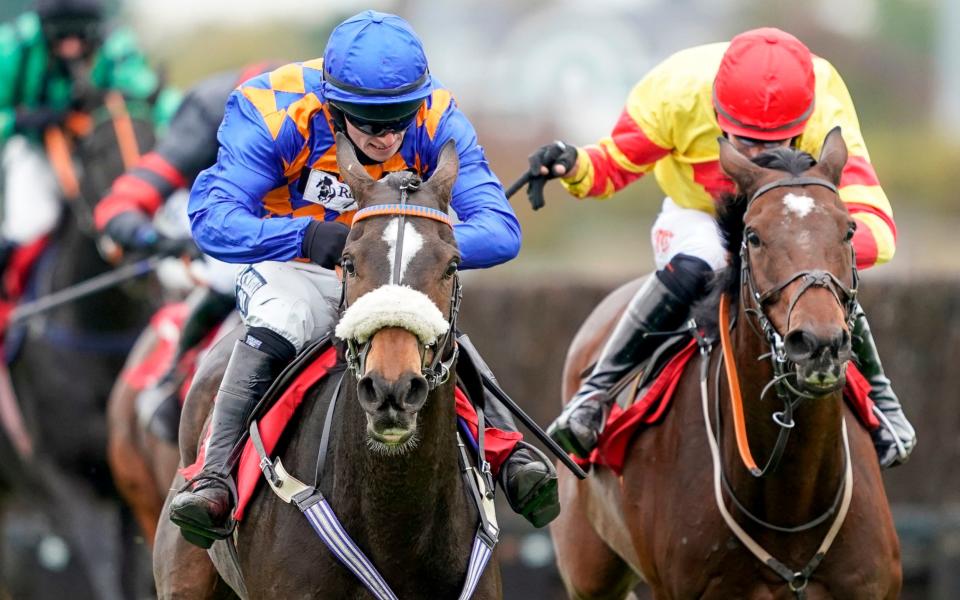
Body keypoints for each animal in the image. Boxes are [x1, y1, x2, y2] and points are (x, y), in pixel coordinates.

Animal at [0, 95, 162, 600]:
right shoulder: (66, 483)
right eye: (93, 153)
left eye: (157, 137)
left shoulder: (125, 487)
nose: (142, 244)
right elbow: (105, 580)